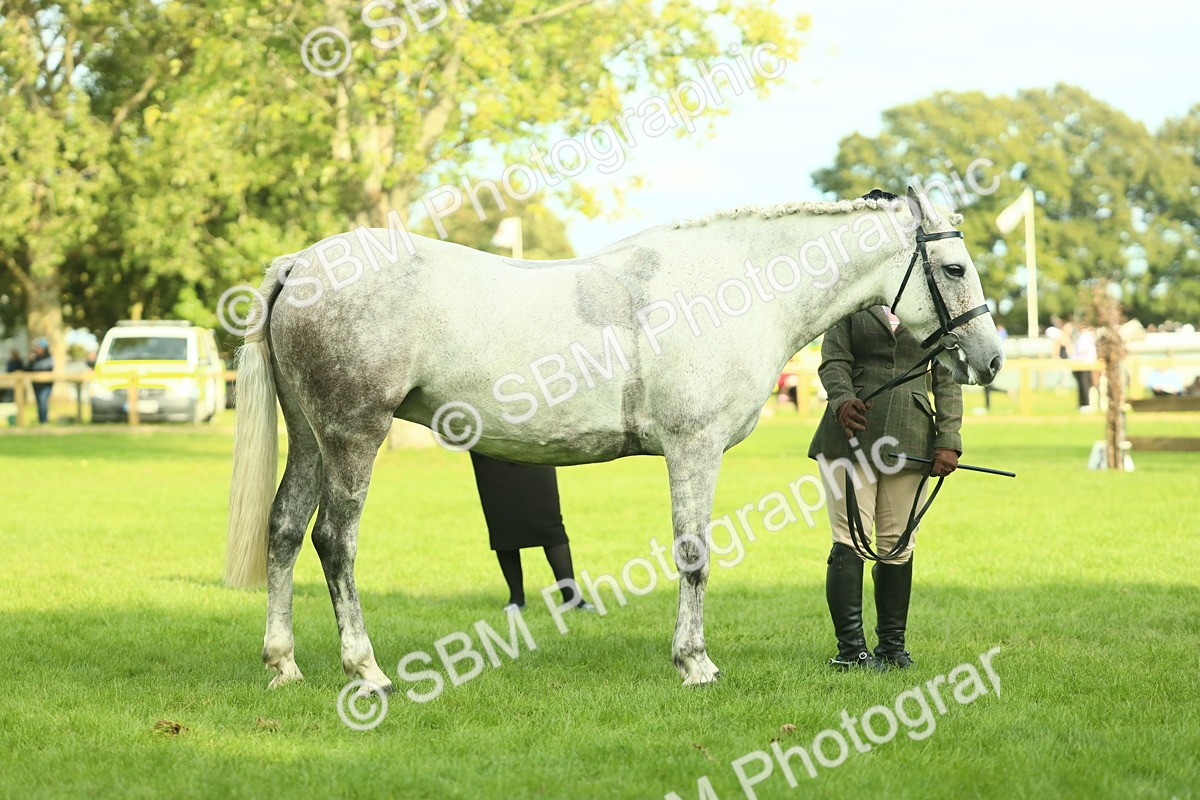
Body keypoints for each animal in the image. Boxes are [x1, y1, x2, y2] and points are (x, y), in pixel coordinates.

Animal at [224, 187, 1004, 692]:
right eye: (955, 268)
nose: (991, 359)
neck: (732, 286)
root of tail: (300, 264)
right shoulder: (693, 448)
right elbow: (695, 556)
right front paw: (695, 664)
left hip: (310, 438)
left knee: (285, 530)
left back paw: (283, 665)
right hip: (353, 434)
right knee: (335, 541)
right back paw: (367, 671)